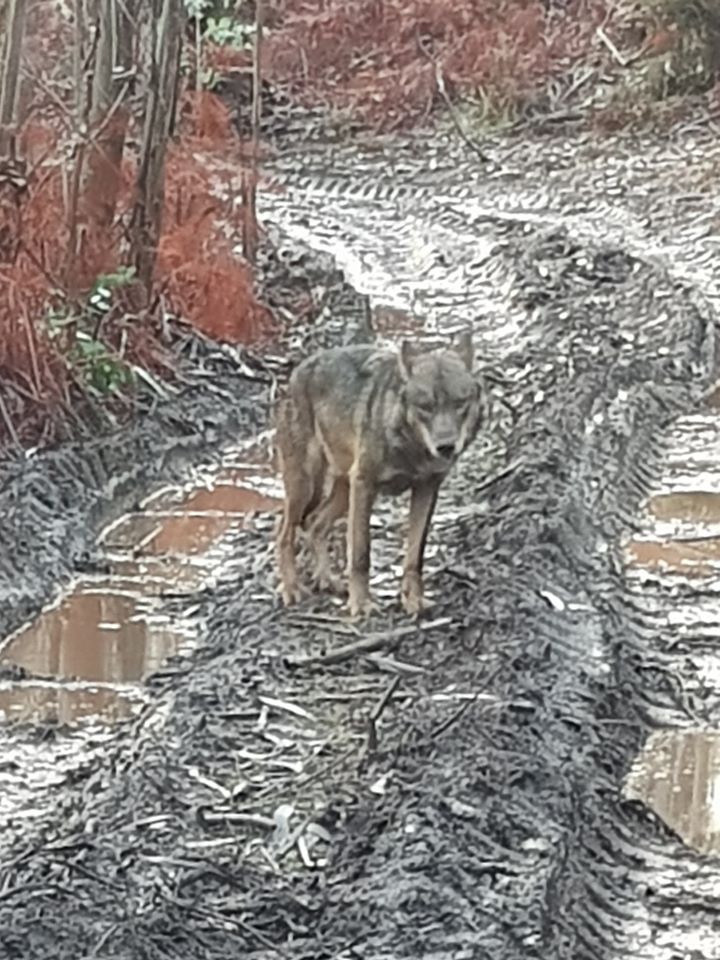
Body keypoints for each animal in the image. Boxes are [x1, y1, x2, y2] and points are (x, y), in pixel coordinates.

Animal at [275, 332, 486, 618]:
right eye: (425, 407)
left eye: (460, 403)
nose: (446, 447)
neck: (412, 448)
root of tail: (297, 370)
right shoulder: (365, 485)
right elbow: (361, 553)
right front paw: (361, 604)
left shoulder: (427, 488)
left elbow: (415, 555)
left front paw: (413, 600)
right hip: (305, 486)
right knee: (284, 533)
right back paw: (292, 589)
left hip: (343, 490)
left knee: (316, 524)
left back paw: (327, 580)